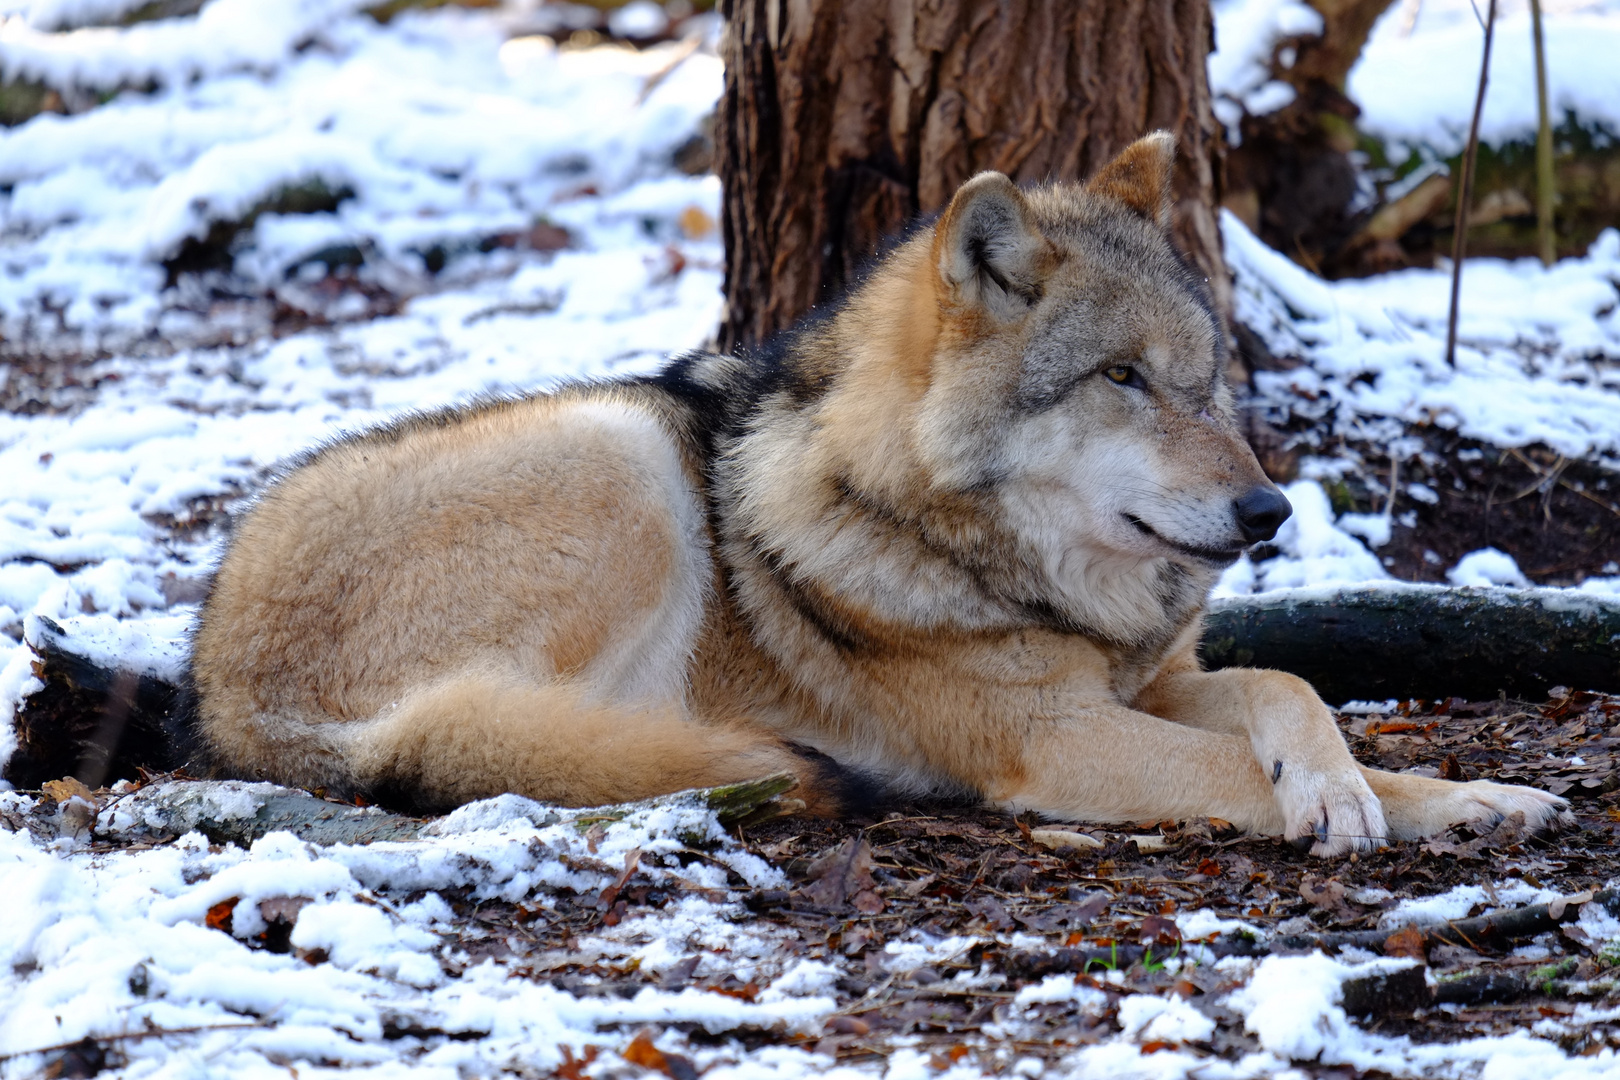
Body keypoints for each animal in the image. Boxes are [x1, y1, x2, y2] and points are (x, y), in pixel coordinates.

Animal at [189, 132, 1568, 854]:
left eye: (1210, 380)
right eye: (1120, 379)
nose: (1268, 517)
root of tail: (219, 678)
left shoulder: (1149, 685)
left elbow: (1290, 686)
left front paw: (1414, 789)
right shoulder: (1059, 739)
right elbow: (1245, 767)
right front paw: (1380, 803)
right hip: (620, 454)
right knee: (513, 745)